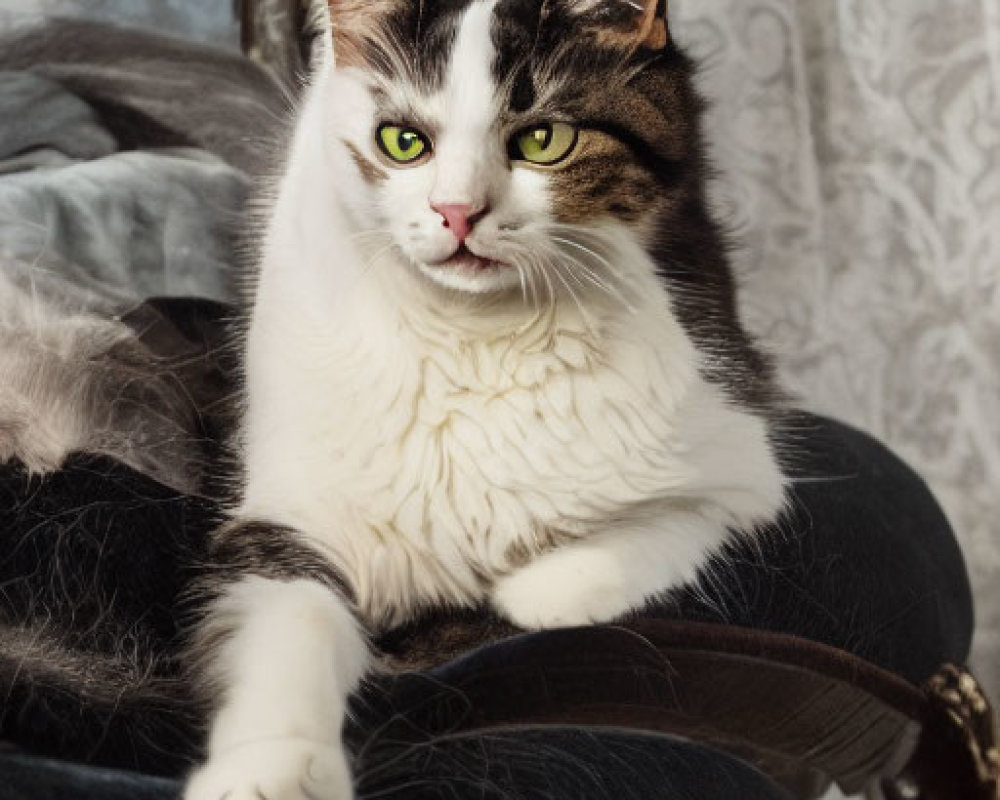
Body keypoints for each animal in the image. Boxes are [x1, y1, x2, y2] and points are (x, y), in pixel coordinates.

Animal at [178, 1, 788, 800]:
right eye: (403, 142)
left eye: (543, 139)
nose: (457, 212)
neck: (474, 333)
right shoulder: (291, 505)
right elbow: (292, 624)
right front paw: (273, 770)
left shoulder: (741, 447)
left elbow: (669, 520)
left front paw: (537, 588)